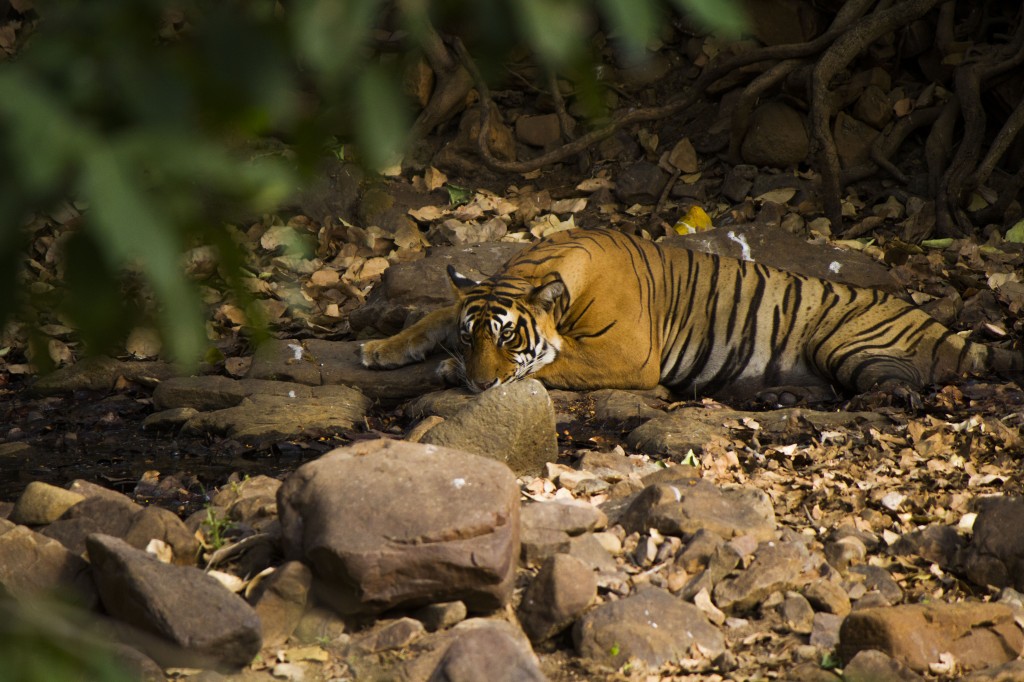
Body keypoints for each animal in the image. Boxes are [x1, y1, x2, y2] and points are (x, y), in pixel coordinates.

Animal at [358, 227, 1015, 403]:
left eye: (507, 339)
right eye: (474, 337)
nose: (476, 383)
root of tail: (939, 325)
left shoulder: (626, 356)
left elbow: (551, 366)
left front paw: (447, 372)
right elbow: (433, 315)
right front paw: (379, 348)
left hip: (846, 343)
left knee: (904, 386)